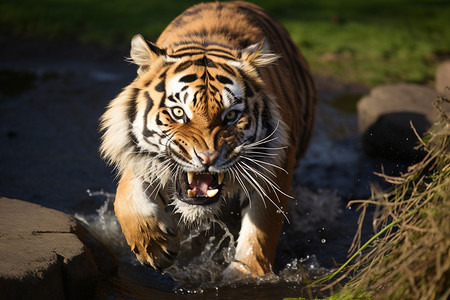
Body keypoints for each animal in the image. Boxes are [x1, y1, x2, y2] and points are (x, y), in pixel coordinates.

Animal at [99, 1, 316, 280]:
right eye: (178, 113)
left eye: (231, 115)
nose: (208, 158)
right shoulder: (140, 153)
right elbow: (126, 196)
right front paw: (155, 246)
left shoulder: (276, 167)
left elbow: (261, 230)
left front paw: (245, 275)